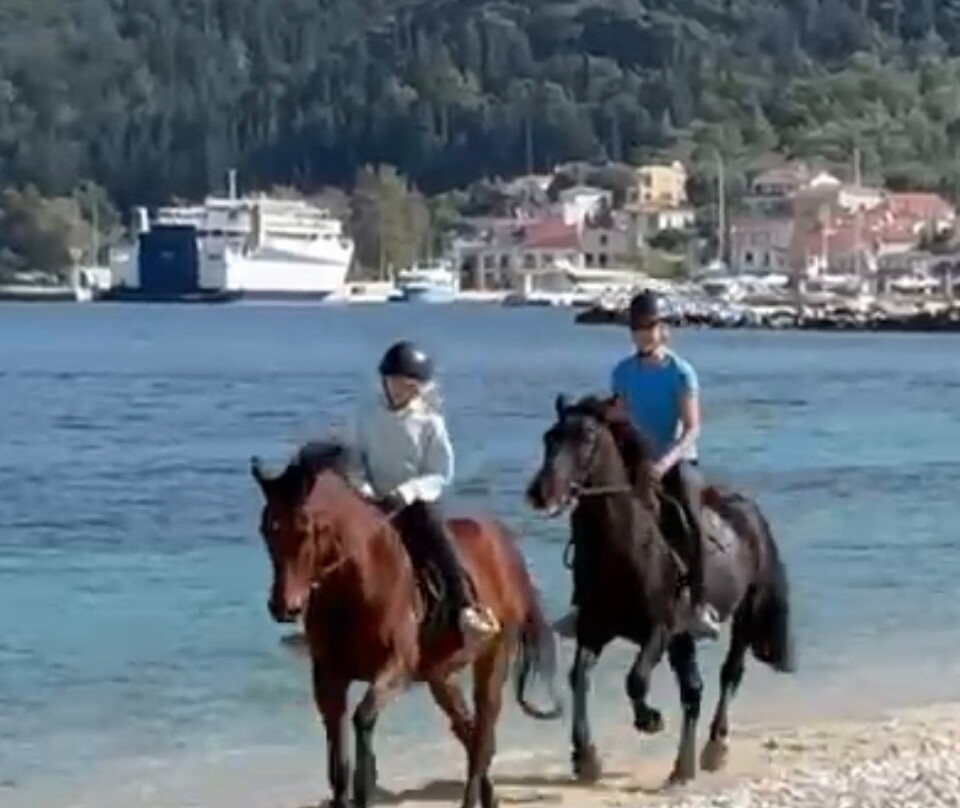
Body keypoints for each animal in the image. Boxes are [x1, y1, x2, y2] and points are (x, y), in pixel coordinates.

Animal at [251, 440, 562, 808]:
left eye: (306, 529)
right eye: (267, 530)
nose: (283, 606)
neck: (355, 586)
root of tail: (505, 545)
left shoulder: (396, 669)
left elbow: (363, 719)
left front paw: (365, 788)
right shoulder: (328, 678)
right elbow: (337, 759)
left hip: (493, 659)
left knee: (482, 737)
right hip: (440, 676)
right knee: (470, 733)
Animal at [525, 394, 795, 786]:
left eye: (588, 436)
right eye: (550, 437)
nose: (541, 492)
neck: (623, 550)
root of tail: (750, 512)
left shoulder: (660, 629)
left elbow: (635, 679)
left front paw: (649, 720)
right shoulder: (594, 629)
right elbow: (579, 678)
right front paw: (586, 758)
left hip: (742, 613)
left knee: (729, 674)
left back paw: (714, 749)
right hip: (683, 639)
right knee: (693, 690)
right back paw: (683, 768)